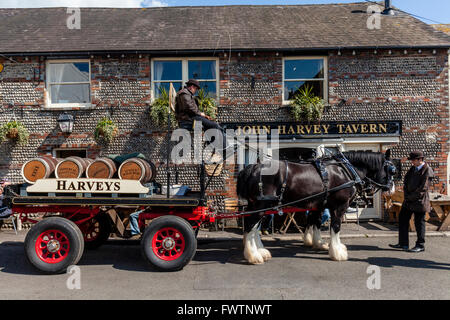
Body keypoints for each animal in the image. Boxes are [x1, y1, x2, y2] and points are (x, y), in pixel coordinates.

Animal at [237, 150, 396, 262]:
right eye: (392, 170)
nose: (392, 189)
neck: (345, 170)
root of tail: (254, 167)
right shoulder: (339, 207)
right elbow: (335, 228)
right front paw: (337, 252)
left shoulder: (319, 205)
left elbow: (316, 223)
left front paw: (318, 243)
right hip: (262, 205)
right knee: (251, 226)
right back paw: (254, 256)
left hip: (257, 205)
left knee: (253, 227)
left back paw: (260, 251)